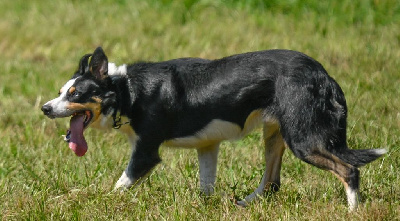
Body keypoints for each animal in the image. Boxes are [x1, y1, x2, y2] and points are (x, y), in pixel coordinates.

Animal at [42, 47, 386, 211]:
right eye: (60, 92)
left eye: (75, 94)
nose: (45, 108)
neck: (126, 90)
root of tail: (323, 74)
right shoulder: (207, 146)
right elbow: (206, 186)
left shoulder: (146, 152)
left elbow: (117, 186)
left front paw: (96, 202)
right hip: (275, 135)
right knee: (272, 183)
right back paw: (243, 204)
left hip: (302, 139)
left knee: (348, 169)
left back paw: (353, 210)